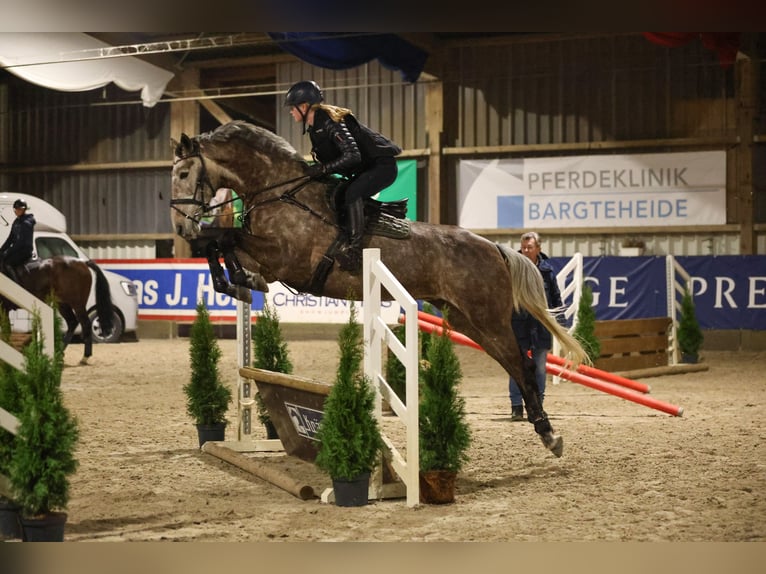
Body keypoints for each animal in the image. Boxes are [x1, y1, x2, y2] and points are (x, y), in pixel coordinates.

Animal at [170, 121, 588, 460]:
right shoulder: (266, 257)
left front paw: (238, 281)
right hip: (468, 321)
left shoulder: (285, 258)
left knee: (521, 362)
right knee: (511, 362)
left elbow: (223, 237)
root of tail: (495, 248)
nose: (180, 228)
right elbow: (219, 243)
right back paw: (543, 429)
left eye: (185, 173)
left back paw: (549, 434)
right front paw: (237, 283)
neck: (280, 191)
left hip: (488, 318)